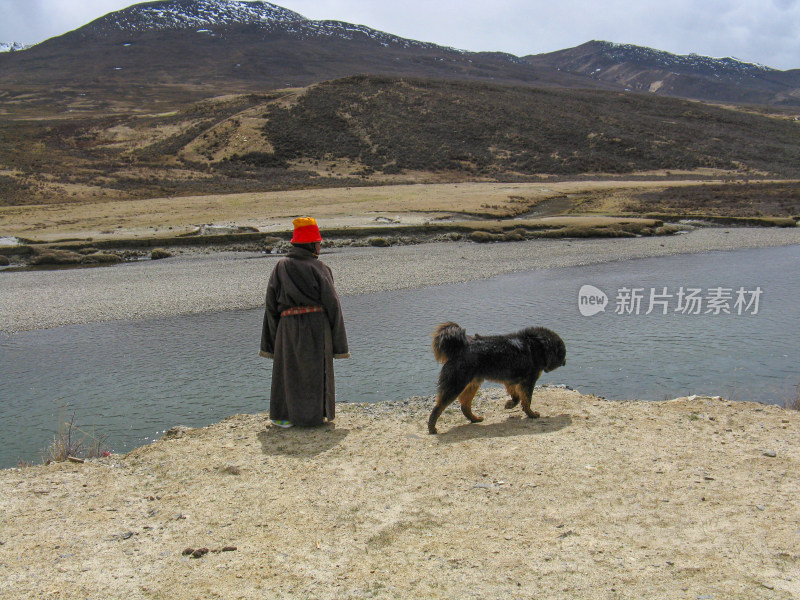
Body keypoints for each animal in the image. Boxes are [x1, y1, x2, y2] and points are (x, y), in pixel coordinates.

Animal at [428, 322, 564, 434]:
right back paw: (432, 428)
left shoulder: (511, 381)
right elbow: (527, 400)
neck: (537, 345)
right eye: (562, 354)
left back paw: (474, 419)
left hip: (472, 385)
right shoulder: (528, 381)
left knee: (465, 406)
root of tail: (459, 347)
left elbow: (517, 397)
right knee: (438, 408)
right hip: (455, 386)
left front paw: (510, 405)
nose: (565, 362)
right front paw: (531, 414)